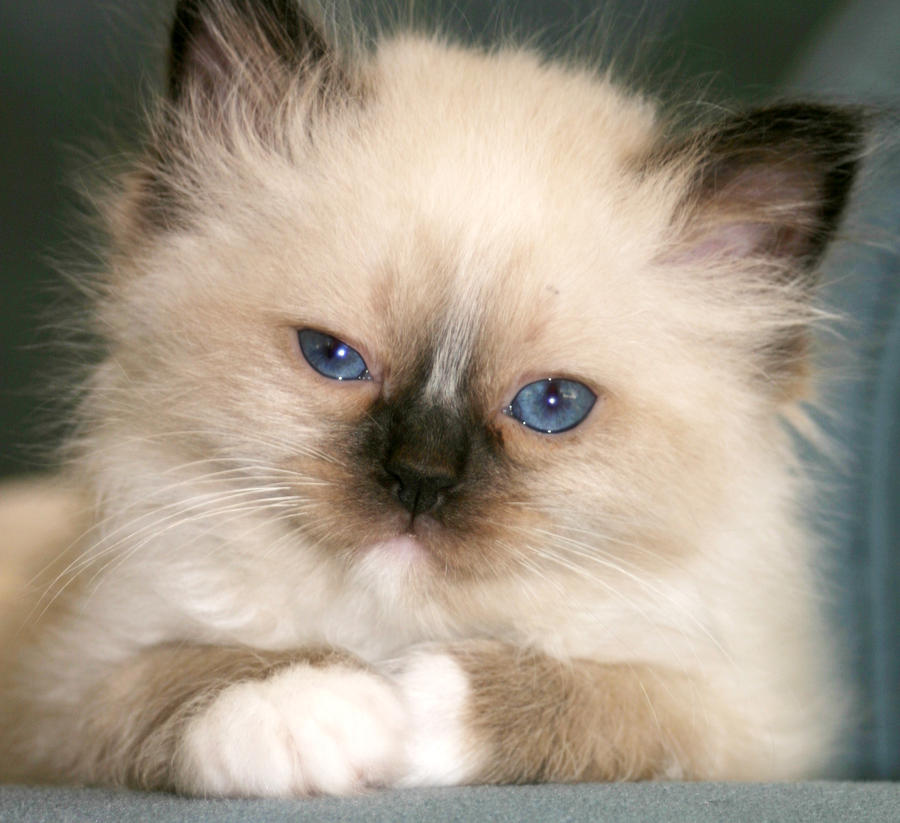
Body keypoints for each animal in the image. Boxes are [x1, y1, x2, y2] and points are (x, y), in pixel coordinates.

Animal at [0, 0, 864, 800]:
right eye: (334, 358)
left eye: (553, 404)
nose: (420, 477)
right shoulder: (59, 692)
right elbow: (169, 674)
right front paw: (307, 704)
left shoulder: (752, 720)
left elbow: (618, 700)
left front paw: (410, 705)